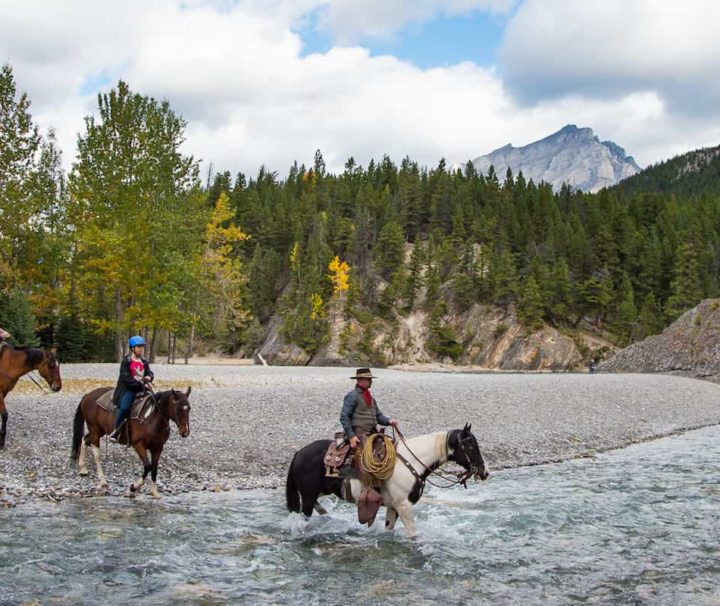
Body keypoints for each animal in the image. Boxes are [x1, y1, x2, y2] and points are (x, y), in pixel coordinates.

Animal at [286, 426, 490, 540]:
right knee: (303, 519)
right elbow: (413, 534)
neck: (411, 462)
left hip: (317, 493)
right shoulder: (404, 506)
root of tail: (299, 453)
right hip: (308, 496)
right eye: (470, 445)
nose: (485, 471)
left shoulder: (393, 507)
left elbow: (389, 529)